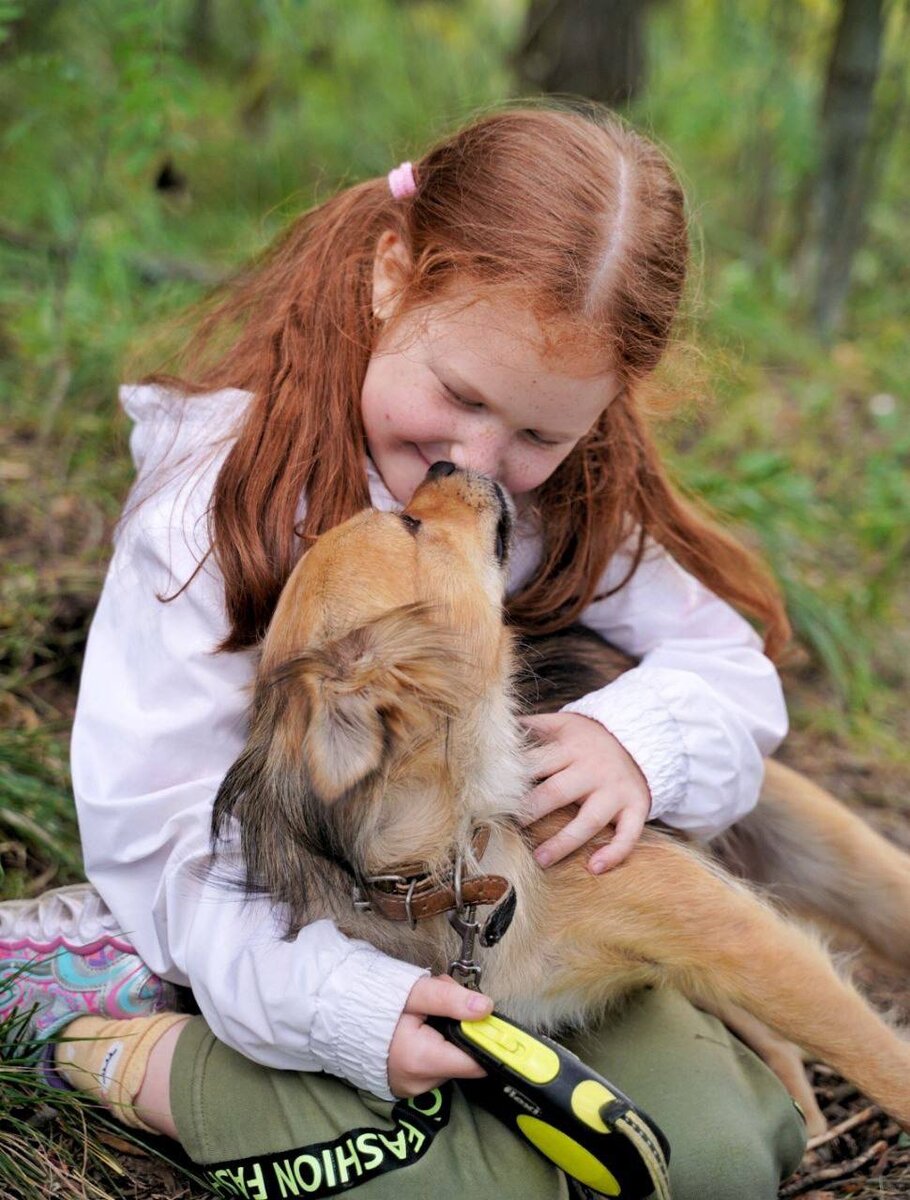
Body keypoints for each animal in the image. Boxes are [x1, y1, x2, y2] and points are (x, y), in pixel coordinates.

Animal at [210, 463, 910, 1128]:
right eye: (411, 525)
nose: (443, 464)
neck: (460, 861)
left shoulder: (735, 935)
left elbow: (877, 1060)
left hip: (834, 854)